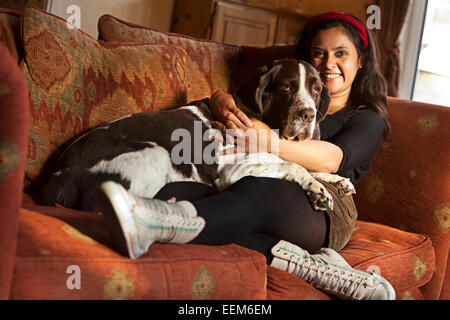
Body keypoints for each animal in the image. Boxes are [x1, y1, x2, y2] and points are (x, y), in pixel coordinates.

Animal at [39, 58, 356, 212]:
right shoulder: (232, 169)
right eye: (287, 86)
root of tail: (62, 173)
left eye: (316, 89)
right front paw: (318, 190)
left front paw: (334, 179)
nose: (308, 115)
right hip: (154, 152)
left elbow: (303, 163)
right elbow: (293, 165)